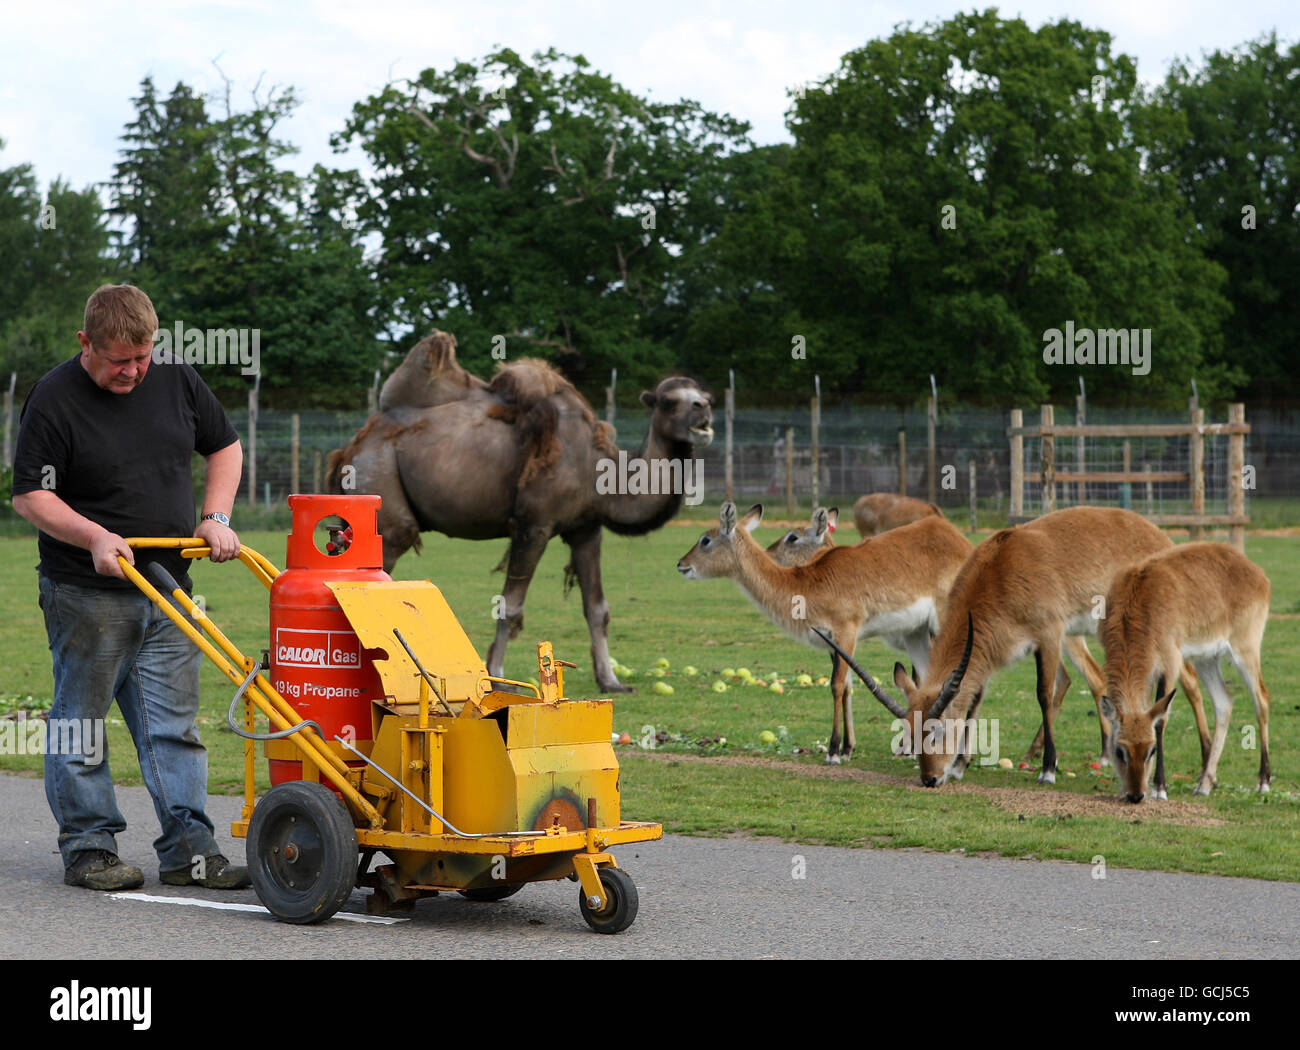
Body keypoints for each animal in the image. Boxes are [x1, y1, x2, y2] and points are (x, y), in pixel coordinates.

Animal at [325, 332, 712, 691]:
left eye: (705, 397)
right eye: (668, 401)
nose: (703, 411)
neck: (597, 469)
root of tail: (351, 447)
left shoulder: (586, 528)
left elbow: (597, 609)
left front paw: (611, 681)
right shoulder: (533, 525)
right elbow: (509, 606)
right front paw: (497, 677)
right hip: (381, 486)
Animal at [681, 501, 977, 764]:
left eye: (705, 539)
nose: (681, 564)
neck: (810, 584)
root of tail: (962, 542)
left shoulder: (846, 631)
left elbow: (836, 685)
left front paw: (834, 751)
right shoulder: (834, 642)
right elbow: (847, 685)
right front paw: (847, 749)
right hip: (917, 633)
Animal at [826, 506, 1211, 790]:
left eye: (936, 730)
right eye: (908, 732)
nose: (930, 778)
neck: (1001, 570)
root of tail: (1159, 535)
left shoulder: (1049, 635)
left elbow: (1043, 692)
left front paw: (1048, 769)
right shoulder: (987, 652)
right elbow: (975, 699)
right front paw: (960, 765)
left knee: (1185, 683)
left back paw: (1187, 779)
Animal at [1097, 545, 1268, 800]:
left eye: (1151, 750)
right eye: (1119, 750)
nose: (1136, 795)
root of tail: (1254, 570)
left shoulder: (1170, 663)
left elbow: (1160, 721)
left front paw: (1159, 787)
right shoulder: (1147, 671)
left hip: (1245, 650)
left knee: (1262, 699)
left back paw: (1263, 781)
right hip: (1207, 659)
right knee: (1224, 702)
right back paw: (1203, 785)